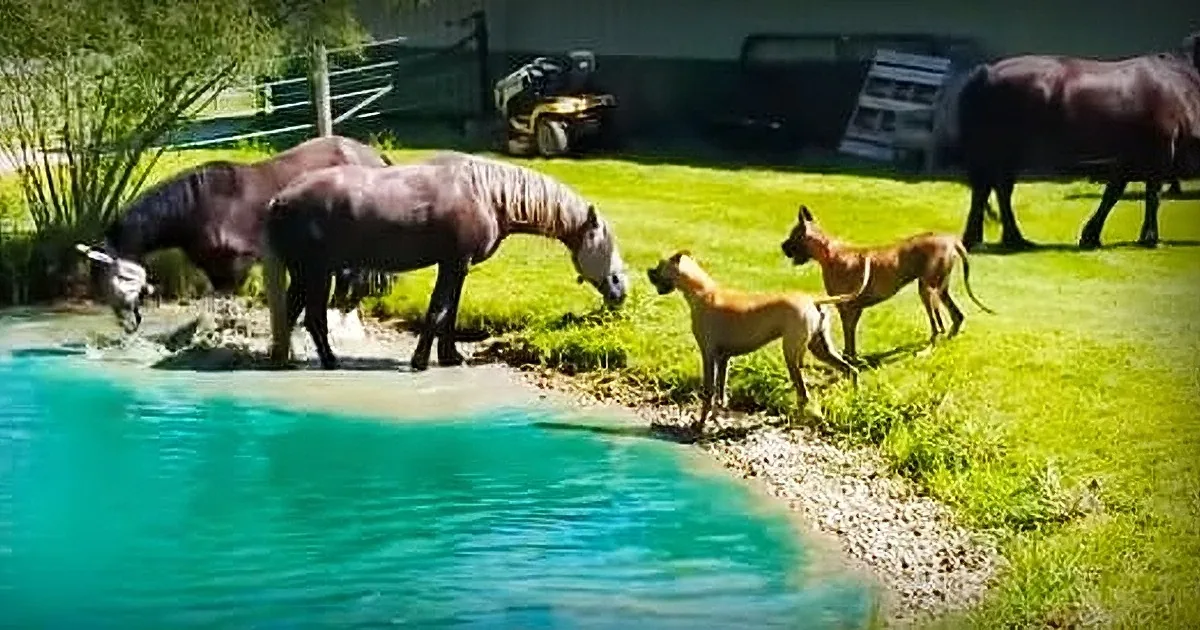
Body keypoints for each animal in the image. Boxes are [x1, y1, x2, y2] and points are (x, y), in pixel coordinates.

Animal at [74, 135, 394, 333]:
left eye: (119, 279)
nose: (127, 325)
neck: (199, 207)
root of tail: (373, 155)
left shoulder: (238, 264)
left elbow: (228, 301)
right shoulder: (214, 268)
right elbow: (217, 301)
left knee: (354, 276)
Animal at [261, 151, 629, 371]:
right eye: (604, 241)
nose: (620, 289)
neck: (486, 194)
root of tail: (279, 199)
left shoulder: (459, 267)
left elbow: (450, 314)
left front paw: (450, 356)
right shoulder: (452, 264)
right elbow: (438, 310)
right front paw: (420, 360)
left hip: (304, 274)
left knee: (289, 312)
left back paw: (282, 359)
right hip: (316, 273)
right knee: (312, 318)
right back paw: (328, 360)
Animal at [956, 37, 1200, 252]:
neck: (1180, 84)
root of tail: (985, 73)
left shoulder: (1129, 156)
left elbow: (1113, 193)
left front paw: (1091, 236)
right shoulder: (1159, 151)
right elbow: (1152, 196)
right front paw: (1150, 238)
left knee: (994, 189)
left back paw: (1004, 239)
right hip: (1000, 150)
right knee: (990, 189)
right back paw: (994, 240)